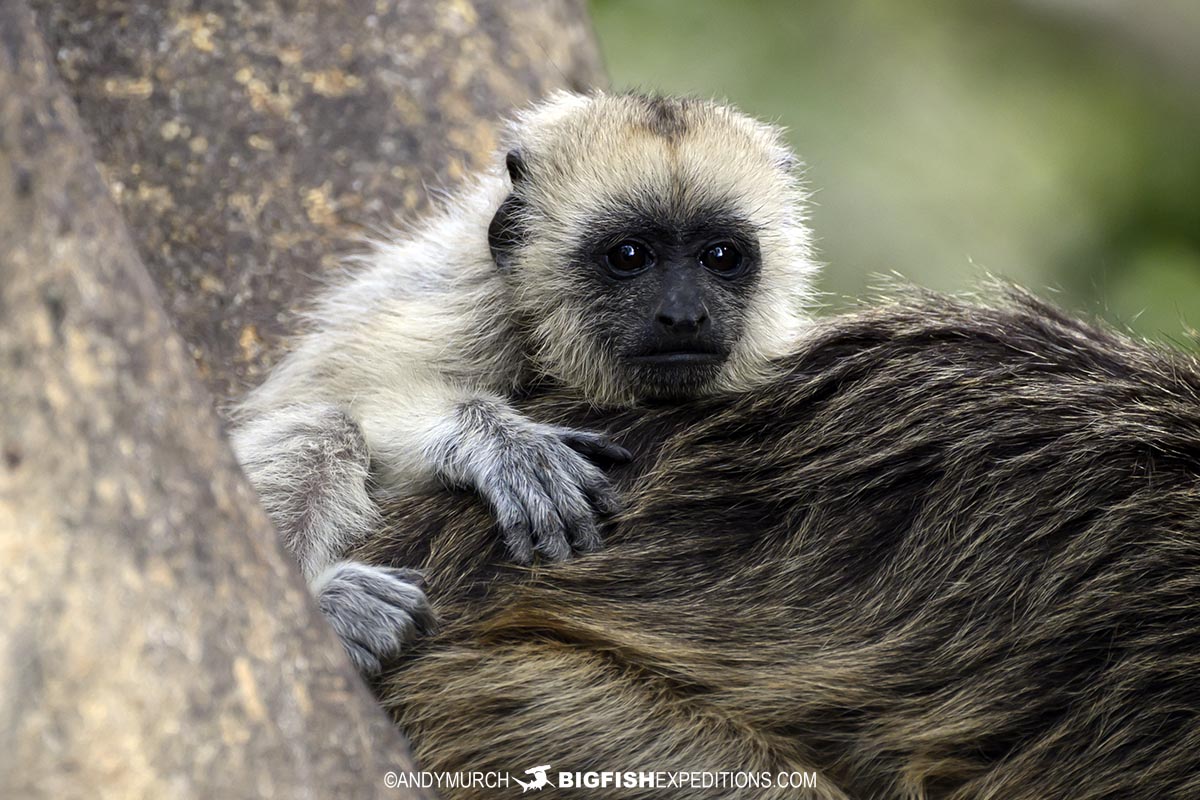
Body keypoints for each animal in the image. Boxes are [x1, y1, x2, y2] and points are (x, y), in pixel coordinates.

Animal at [230, 91, 818, 673]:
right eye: (629, 256)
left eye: (721, 256)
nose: (683, 316)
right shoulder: (473, 304)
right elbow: (345, 389)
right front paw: (503, 445)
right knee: (325, 427)